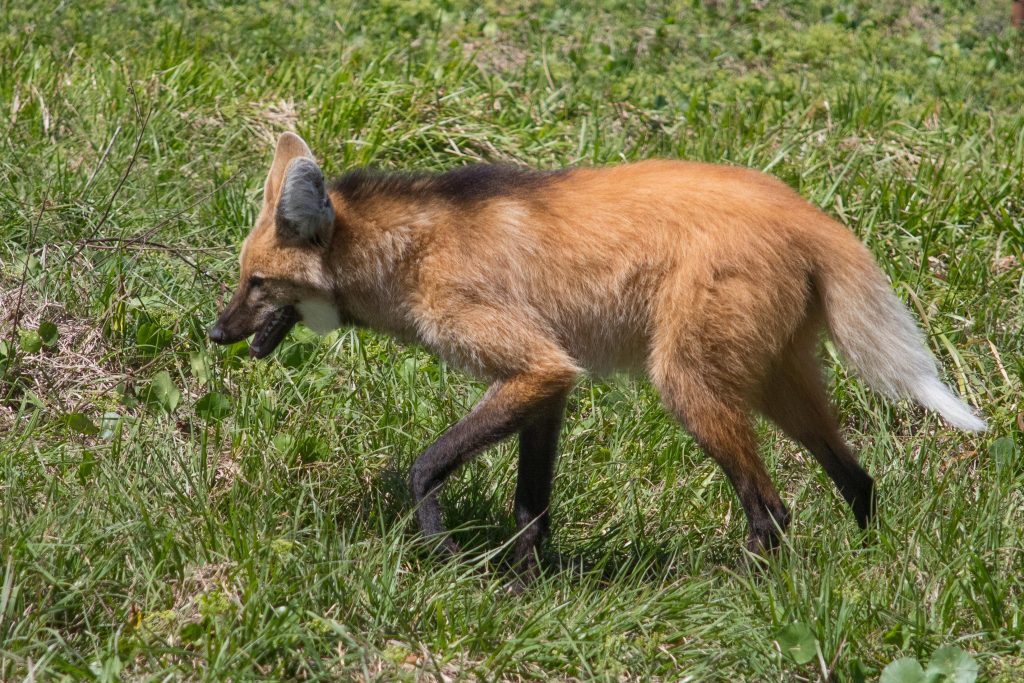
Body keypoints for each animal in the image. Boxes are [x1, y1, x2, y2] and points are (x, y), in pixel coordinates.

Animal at [209, 132, 985, 574]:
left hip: (688, 384)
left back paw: (739, 585)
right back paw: (864, 566)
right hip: (776, 382)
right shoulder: (547, 384)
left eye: (256, 283)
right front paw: (523, 587)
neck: (409, 252)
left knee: (773, 508)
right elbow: (531, 503)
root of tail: (808, 214)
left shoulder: (537, 366)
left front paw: (444, 552)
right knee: (858, 478)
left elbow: (425, 467)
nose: (215, 333)